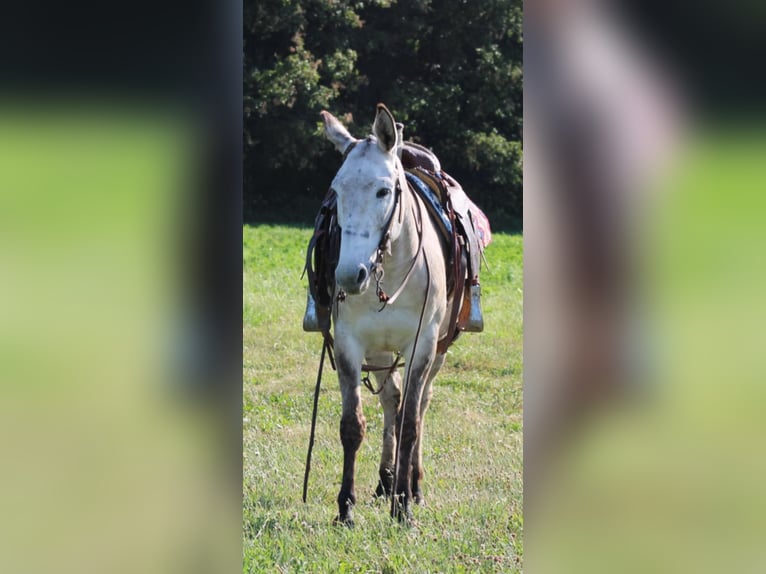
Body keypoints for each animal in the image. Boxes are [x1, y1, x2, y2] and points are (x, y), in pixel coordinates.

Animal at [316, 103, 462, 528]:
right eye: (336, 191)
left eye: (383, 190)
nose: (350, 274)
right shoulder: (350, 344)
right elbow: (353, 426)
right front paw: (346, 508)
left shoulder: (421, 347)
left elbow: (411, 424)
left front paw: (404, 509)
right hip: (380, 353)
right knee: (391, 401)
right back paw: (385, 481)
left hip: (437, 352)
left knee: (419, 405)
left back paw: (411, 485)